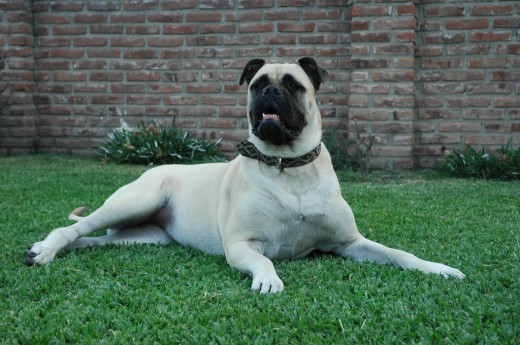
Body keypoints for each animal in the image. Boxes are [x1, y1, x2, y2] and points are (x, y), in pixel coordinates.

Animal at [24, 57, 466, 292]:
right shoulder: (241, 245)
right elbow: (263, 261)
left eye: (293, 85)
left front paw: (437, 268)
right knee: (73, 229)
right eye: (256, 84)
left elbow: (400, 254)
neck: (289, 168)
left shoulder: (350, 243)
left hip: (142, 236)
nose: (270, 92)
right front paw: (268, 279)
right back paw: (45, 250)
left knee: (91, 241)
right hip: (135, 201)